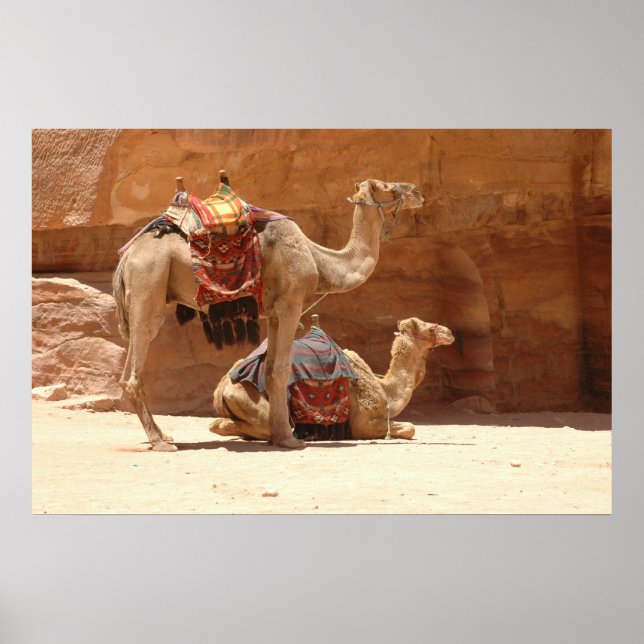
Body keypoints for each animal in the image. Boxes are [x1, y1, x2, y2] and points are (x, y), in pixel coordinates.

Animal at [113, 178, 424, 451]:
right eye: (386, 186)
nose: (417, 192)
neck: (319, 260)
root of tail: (127, 257)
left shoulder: (273, 313)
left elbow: (273, 367)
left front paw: (278, 434)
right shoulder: (291, 304)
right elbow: (280, 370)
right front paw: (289, 439)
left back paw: (164, 434)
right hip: (148, 282)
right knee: (136, 362)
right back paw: (160, 442)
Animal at [209, 317, 454, 441]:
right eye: (428, 327)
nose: (450, 332)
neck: (386, 390)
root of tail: (220, 391)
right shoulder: (362, 423)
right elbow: (410, 428)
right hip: (254, 401)